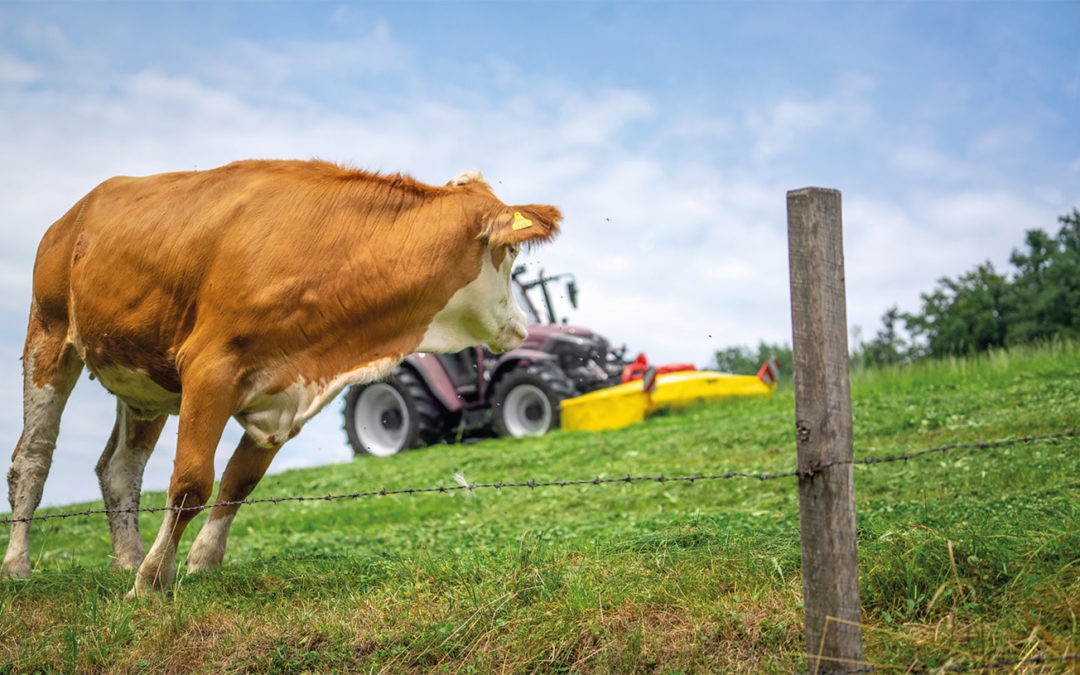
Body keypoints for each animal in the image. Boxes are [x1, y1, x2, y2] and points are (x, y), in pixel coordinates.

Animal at [4, 158, 565, 596]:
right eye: (512, 254)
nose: (522, 328)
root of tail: (75, 212)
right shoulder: (209, 369)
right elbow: (191, 483)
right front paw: (153, 582)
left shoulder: (285, 399)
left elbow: (238, 482)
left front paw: (199, 565)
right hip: (49, 337)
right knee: (31, 459)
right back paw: (19, 565)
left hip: (142, 379)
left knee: (120, 470)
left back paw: (125, 560)